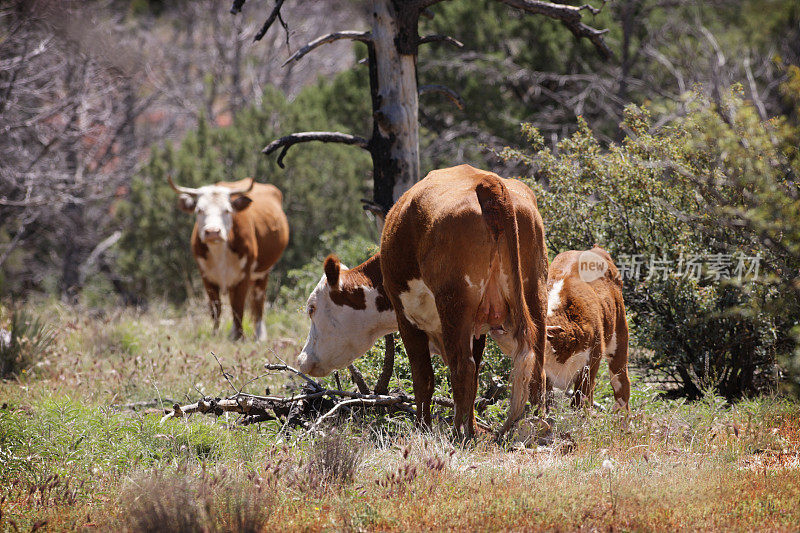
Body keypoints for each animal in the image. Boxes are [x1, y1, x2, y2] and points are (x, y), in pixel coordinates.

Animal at [169, 176, 290, 340]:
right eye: (199, 210)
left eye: (227, 210)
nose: (212, 232)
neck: (220, 251)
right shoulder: (206, 276)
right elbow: (216, 308)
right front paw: (215, 334)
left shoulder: (244, 275)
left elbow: (238, 307)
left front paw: (239, 337)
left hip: (262, 272)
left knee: (258, 301)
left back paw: (259, 335)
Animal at [298, 165, 552, 436]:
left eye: (312, 308)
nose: (302, 359)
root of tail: (488, 183)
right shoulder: (477, 326)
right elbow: (473, 380)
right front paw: (472, 428)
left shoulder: (407, 320)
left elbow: (423, 378)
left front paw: (423, 428)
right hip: (534, 292)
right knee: (535, 364)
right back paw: (537, 426)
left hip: (454, 305)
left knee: (462, 368)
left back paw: (459, 435)